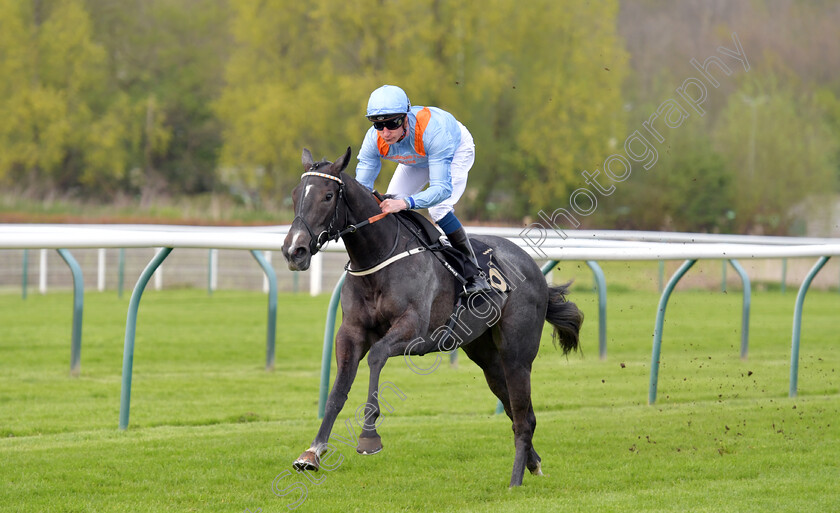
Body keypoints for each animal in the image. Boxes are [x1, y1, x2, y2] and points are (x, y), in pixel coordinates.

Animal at [278, 146, 580, 486]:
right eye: (295, 194)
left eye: (328, 196)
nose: (294, 250)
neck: (378, 257)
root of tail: (533, 268)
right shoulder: (351, 332)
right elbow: (338, 389)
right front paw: (312, 452)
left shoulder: (414, 331)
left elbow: (377, 355)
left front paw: (369, 436)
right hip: (485, 354)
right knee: (518, 412)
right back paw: (533, 463)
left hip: (517, 354)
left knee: (523, 416)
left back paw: (515, 481)